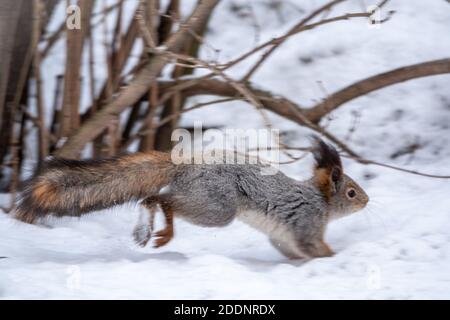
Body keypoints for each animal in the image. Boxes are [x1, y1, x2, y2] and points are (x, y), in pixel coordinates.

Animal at [14, 138, 370, 260]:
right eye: (351, 192)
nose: (367, 201)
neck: (321, 201)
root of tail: (187, 165)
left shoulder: (284, 236)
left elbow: (290, 250)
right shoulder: (306, 222)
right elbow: (314, 247)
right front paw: (332, 257)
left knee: (153, 199)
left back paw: (147, 229)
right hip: (217, 208)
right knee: (162, 199)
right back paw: (161, 230)